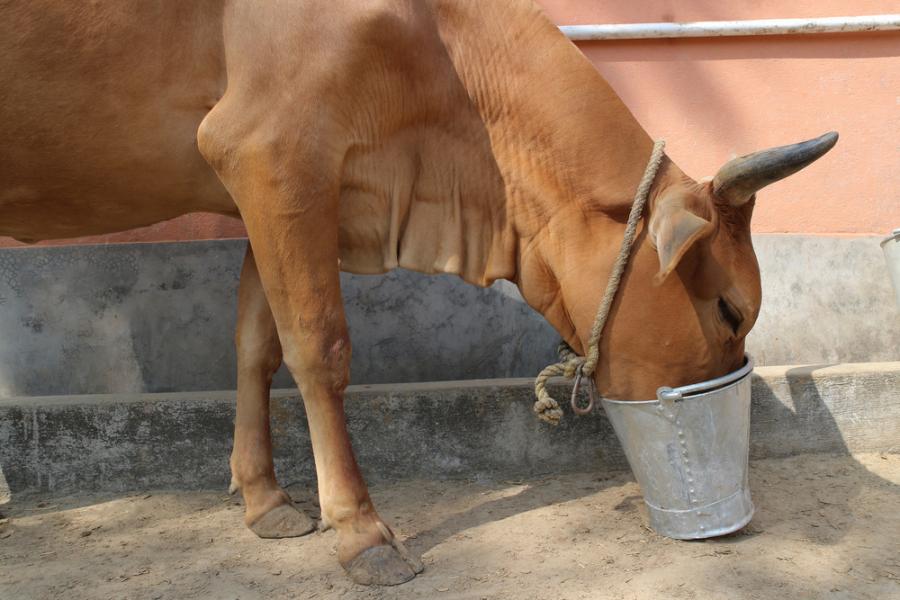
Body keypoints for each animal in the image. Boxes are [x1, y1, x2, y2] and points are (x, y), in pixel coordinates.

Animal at [3, 0, 840, 584]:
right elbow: (318, 347)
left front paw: (266, 502)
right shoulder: (271, 153)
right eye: (730, 309)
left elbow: (256, 345)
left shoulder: (287, 188)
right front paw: (362, 533)